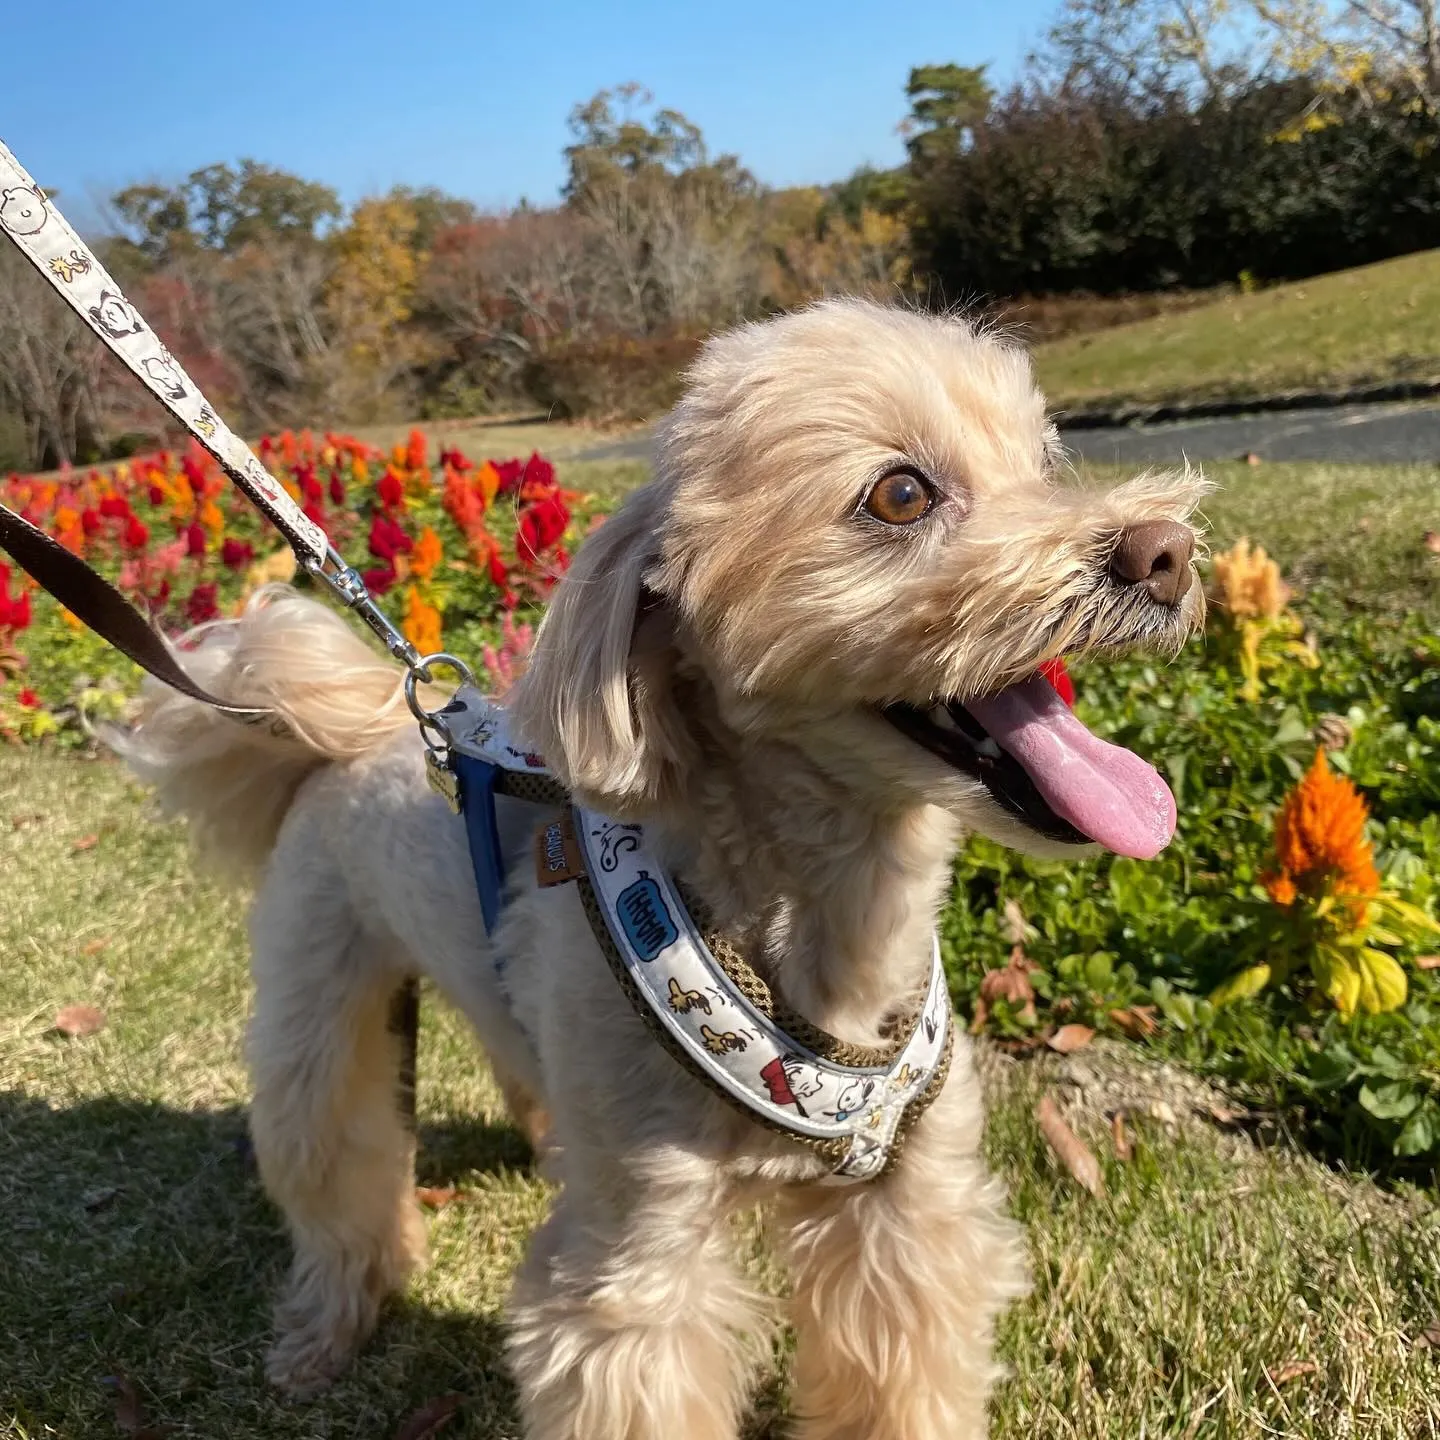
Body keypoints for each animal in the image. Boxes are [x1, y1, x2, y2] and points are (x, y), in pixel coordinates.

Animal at [112, 295, 1203, 1440]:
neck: (835, 938)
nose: (1167, 552)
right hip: (313, 1007)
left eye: (1044, 461)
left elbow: (903, 1373)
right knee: (334, 1170)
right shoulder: (639, 1267)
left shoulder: (909, 1211)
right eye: (900, 494)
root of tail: (357, 726)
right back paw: (325, 1329)